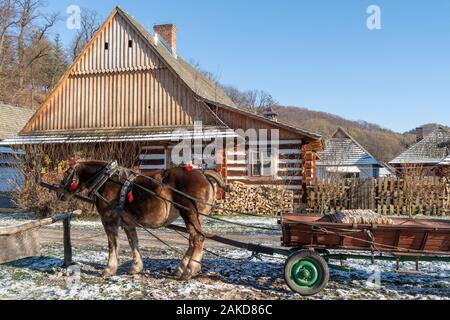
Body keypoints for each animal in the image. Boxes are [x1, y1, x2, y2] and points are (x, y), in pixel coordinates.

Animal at [57, 160, 229, 280]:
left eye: (66, 174)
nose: (60, 194)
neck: (107, 180)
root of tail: (203, 173)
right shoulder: (128, 224)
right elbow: (134, 243)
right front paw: (136, 267)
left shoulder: (109, 220)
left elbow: (113, 245)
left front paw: (109, 269)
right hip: (196, 217)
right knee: (193, 241)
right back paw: (181, 268)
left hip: (189, 213)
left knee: (198, 238)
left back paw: (189, 270)